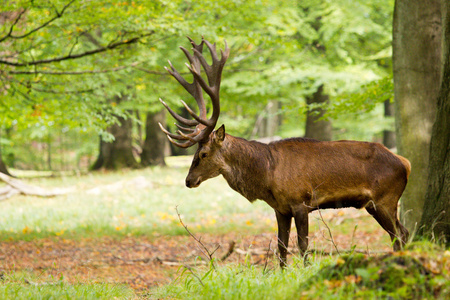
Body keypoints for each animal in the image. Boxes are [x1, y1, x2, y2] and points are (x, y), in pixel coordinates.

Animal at [158, 37, 412, 268]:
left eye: (203, 154)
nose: (188, 180)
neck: (267, 175)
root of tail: (405, 163)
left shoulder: (301, 202)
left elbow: (303, 245)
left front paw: (305, 271)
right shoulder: (280, 209)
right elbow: (281, 248)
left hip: (385, 198)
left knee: (400, 234)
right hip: (375, 204)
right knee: (403, 233)